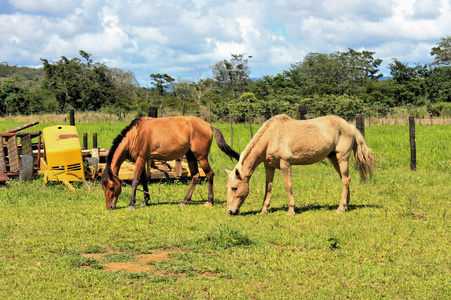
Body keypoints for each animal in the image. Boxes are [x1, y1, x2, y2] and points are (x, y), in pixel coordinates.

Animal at [102, 116, 240, 210]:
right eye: (103, 187)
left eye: (111, 187)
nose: (110, 207)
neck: (134, 135)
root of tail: (208, 124)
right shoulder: (143, 160)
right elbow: (144, 180)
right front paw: (145, 201)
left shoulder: (140, 159)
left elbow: (136, 180)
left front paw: (132, 204)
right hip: (191, 156)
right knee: (195, 176)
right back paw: (185, 200)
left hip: (201, 157)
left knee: (209, 174)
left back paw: (209, 201)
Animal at [228, 115, 376, 216]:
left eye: (235, 188)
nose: (230, 211)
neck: (272, 137)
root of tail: (350, 126)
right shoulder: (269, 166)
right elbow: (268, 187)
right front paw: (263, 210)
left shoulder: (285, 163)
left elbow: (288, 185)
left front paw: (291, 210)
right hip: (334, 159)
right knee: (345, 179)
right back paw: (345, 205)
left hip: (342, 158)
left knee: (345, 180)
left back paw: (340, 208)